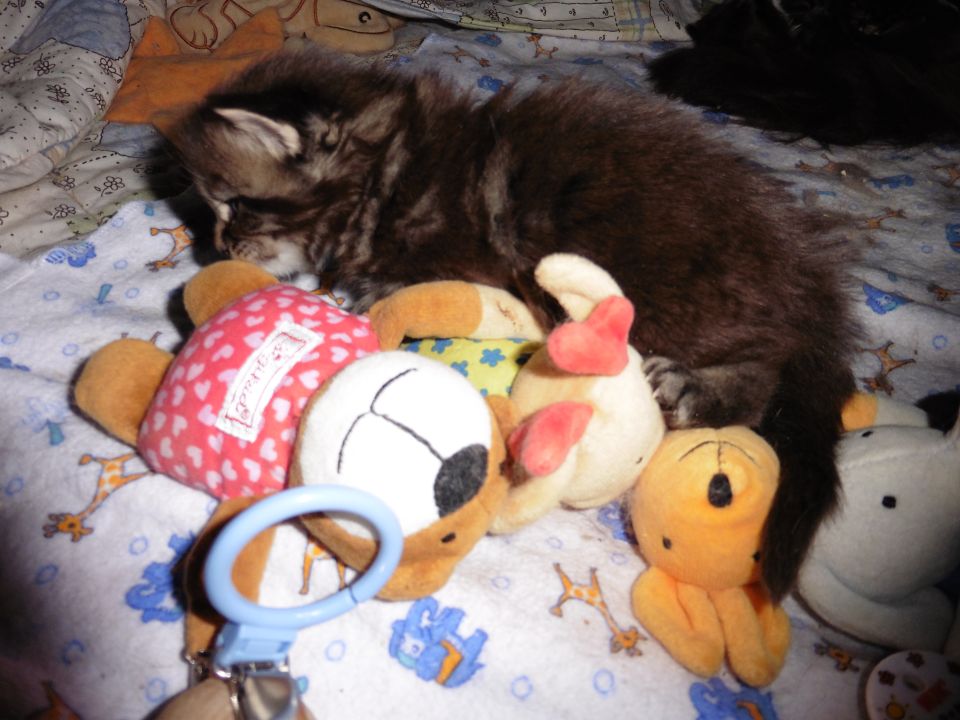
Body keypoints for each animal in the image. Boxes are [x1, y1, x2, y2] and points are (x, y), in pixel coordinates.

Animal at [168, 46, 859, 601]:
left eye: (232, 203)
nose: (216, 250)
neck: (384, 175)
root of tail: (807, 272)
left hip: (667, 284)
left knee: (763, 368)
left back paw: (698, 390)